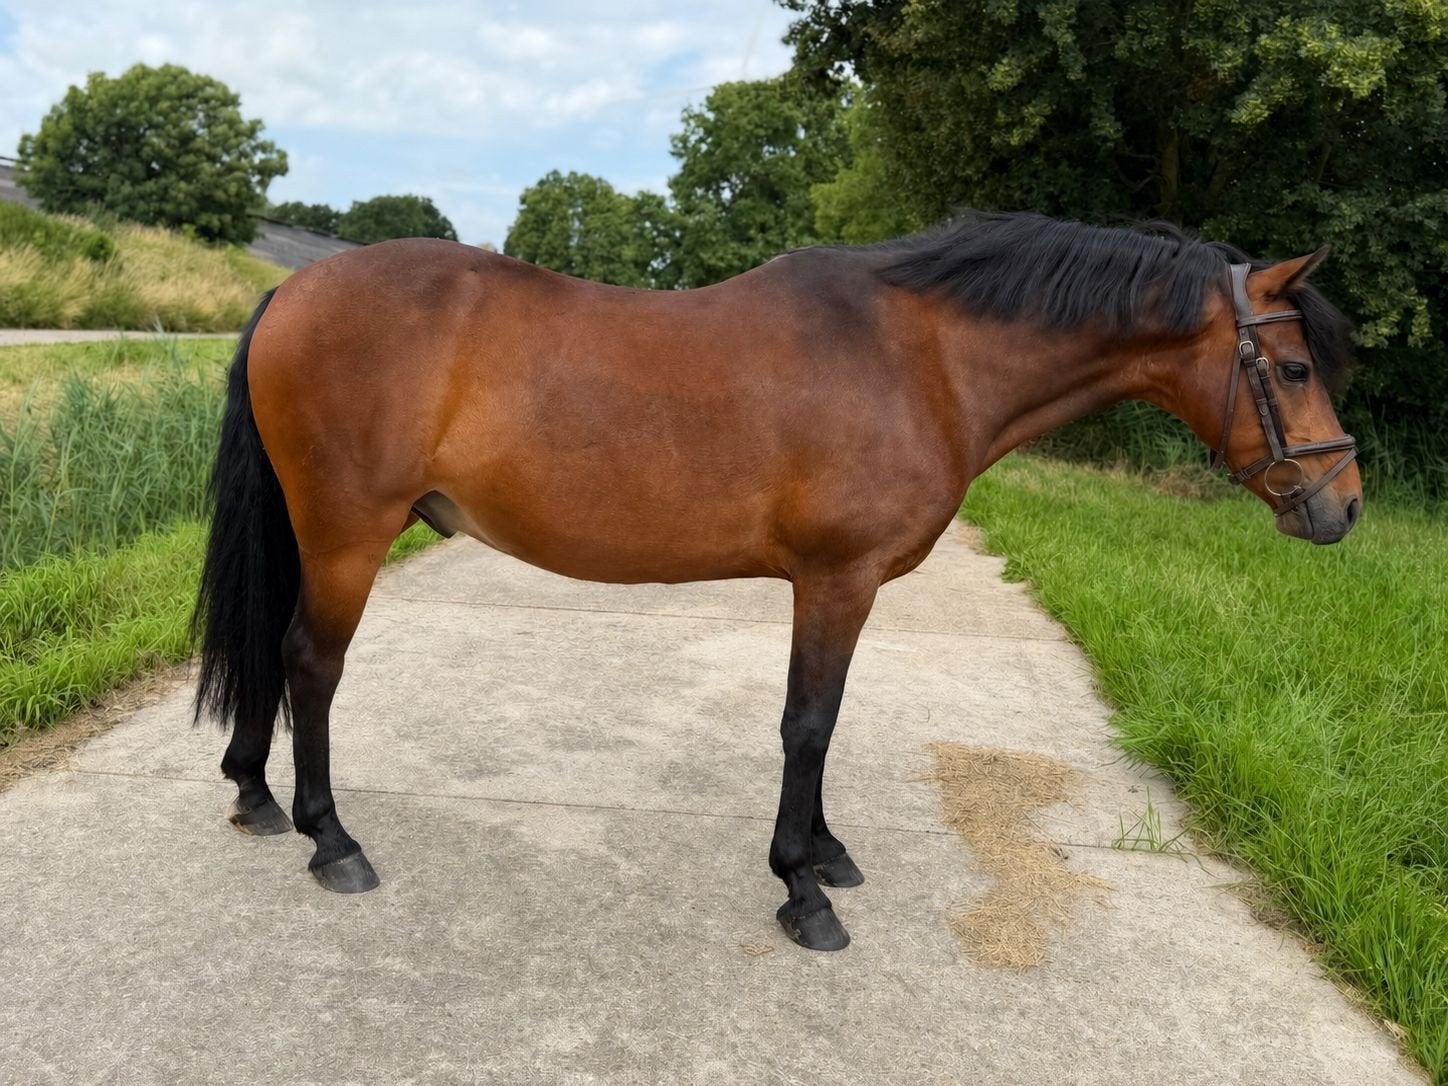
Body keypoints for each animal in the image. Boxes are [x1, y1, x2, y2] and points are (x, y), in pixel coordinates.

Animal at [193, 211, 1360, 952]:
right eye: (1295, 367)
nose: (1340, 506)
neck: (923, 358)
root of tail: (292, 290)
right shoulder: (837, 579)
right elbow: (810, 722)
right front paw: (803, 888)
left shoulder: (839, 586)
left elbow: (823, 721)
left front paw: (827, 854)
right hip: (348, 533)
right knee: (310, 662)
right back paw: (331, 839)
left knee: (275, 652)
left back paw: (254, 794)